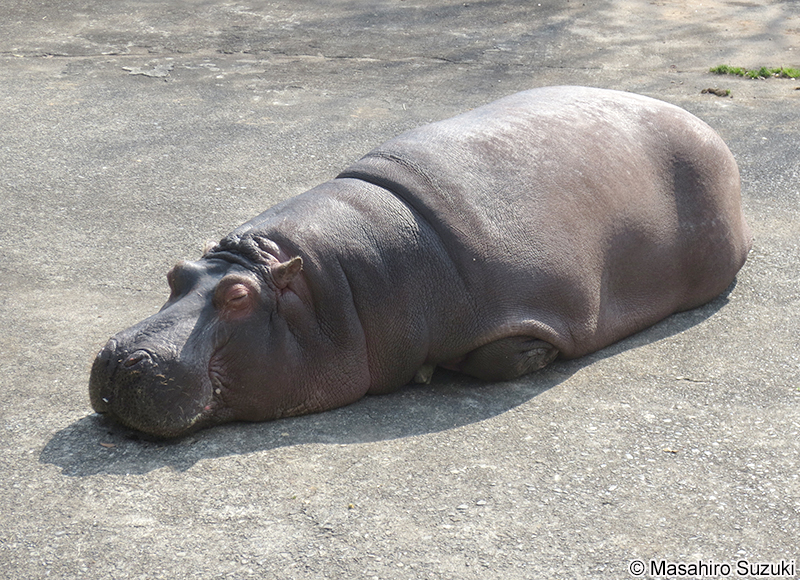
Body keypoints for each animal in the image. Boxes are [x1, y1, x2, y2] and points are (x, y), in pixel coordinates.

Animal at [89, 86, 752, 438]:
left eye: (237, 297)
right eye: (175, 272)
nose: (121, 359)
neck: (334, 289)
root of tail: (702, 124)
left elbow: (501, 357)